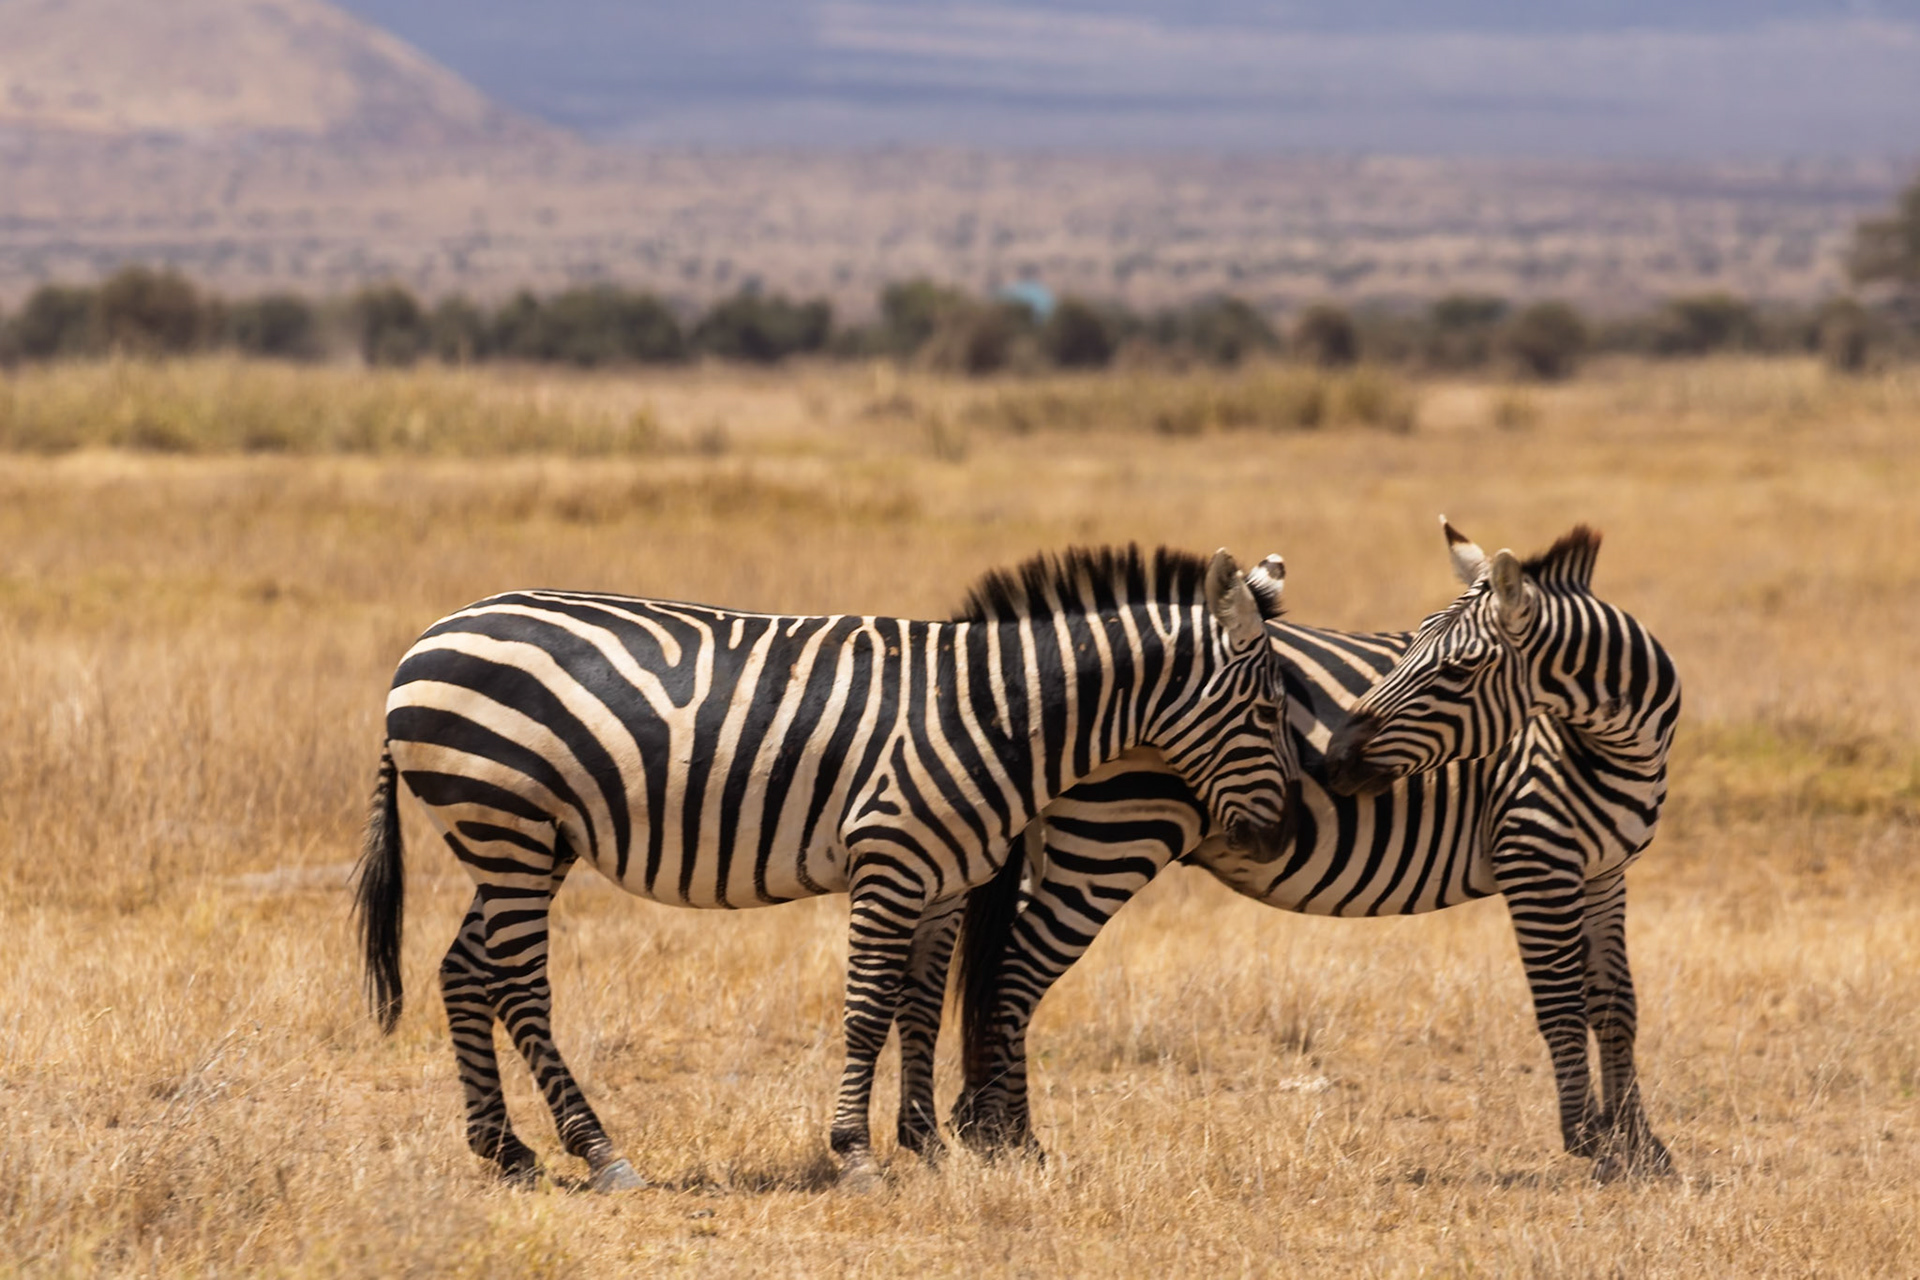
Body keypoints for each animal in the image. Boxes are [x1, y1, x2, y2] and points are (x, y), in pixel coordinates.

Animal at [352, 543, 1301, 1191]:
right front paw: (855, 1154)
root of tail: (426, 640)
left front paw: (924, 1145)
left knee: (463, 968)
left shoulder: (944, 882)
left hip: (528, 840)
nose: (1283, 835)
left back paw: (505, 1149)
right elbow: (868, 1009)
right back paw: (600, 1152)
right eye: (1267, 710)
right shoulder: (890, 861)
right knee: (518, 986)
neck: (996, 715)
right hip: (503, 822)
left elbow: (918, 1007)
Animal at [951, 520, 1680, 1179]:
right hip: (1110, 837)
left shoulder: (1604, 871)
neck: (1612, 743)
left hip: (1053, 843)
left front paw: (1641, 1146)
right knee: (1015, 972)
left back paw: (987, 1125)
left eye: (1459, 668)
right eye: (1414, 644)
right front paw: (1589, 1140)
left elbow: (1616, 1003)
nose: (1335, 757)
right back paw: (1006, 1137)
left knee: (998, 971)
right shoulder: (1535, 855)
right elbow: (1561, 1003)